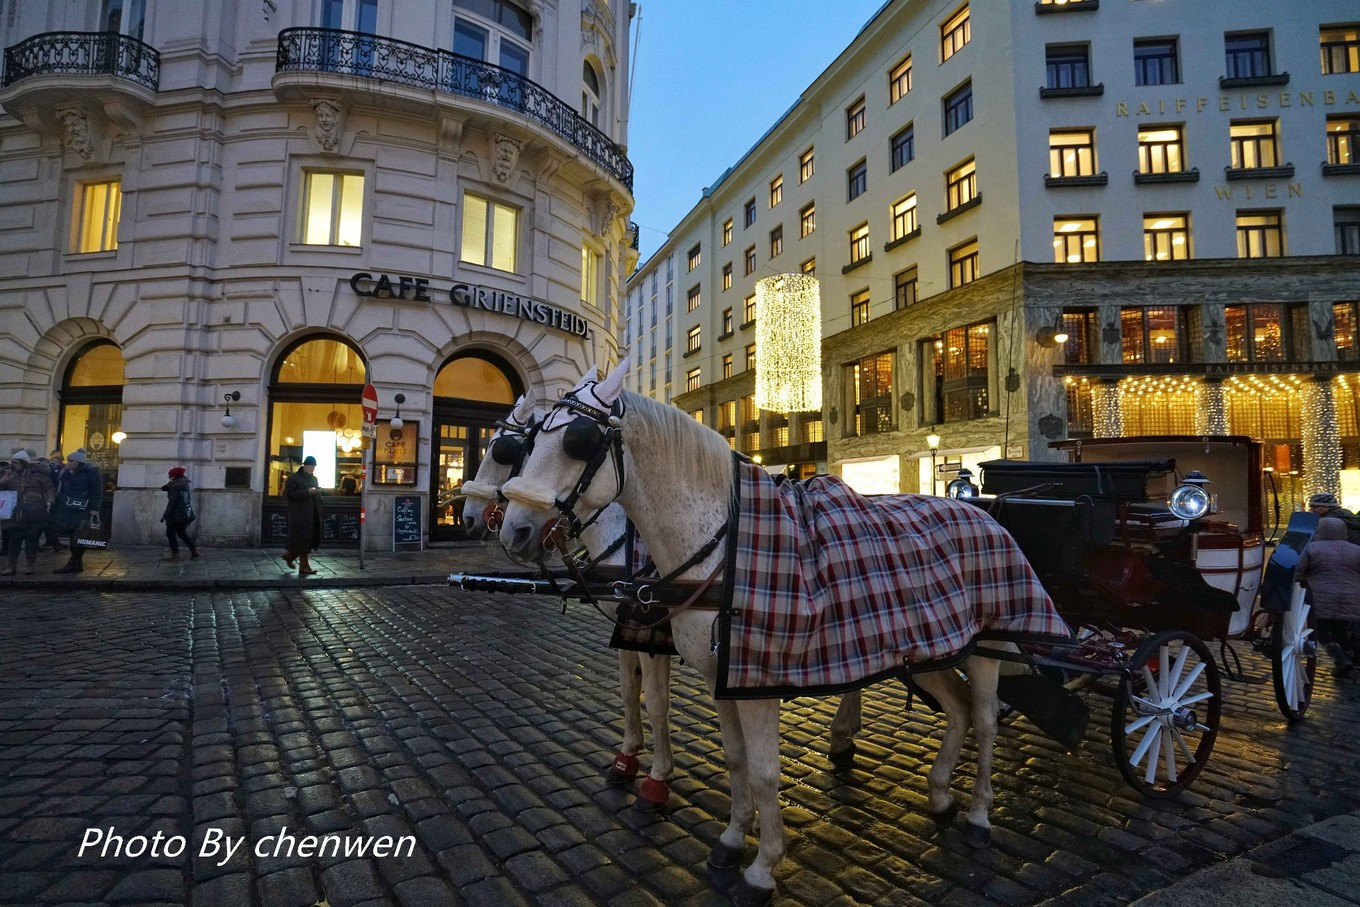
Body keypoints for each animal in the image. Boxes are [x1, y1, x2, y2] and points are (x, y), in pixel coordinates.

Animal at [495, 364, 1044, 907]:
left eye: (578, 442)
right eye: (525, 445)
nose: (512, 529)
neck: (724, 548)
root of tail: (978, 511)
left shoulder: (748, 676)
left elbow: (755, 766)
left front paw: (761, 866)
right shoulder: (714, 672)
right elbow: (732, 756)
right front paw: (731, 838)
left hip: (987, 644)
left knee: (985, 718)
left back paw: (978, 814)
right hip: (931, 647)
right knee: (958, 709)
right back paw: (939, 793)